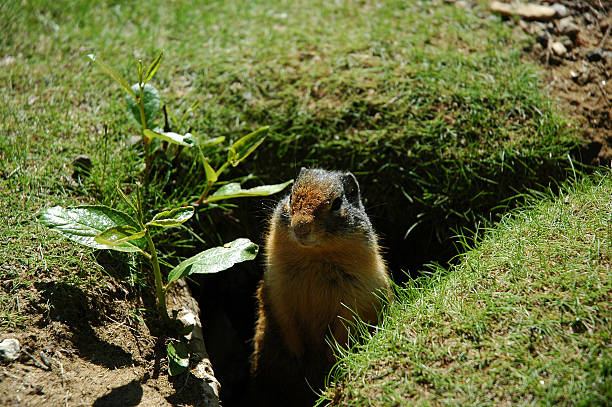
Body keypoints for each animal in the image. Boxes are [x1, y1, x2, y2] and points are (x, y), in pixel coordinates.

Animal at [250, 167, 390, 406]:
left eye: (337, 203)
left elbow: (346, 328)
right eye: (290, 196)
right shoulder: (277, 288)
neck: (314, 258)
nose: (300, 228)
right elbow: (285, 320)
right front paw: (298, 352)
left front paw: (333, 355)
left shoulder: (355, 298)